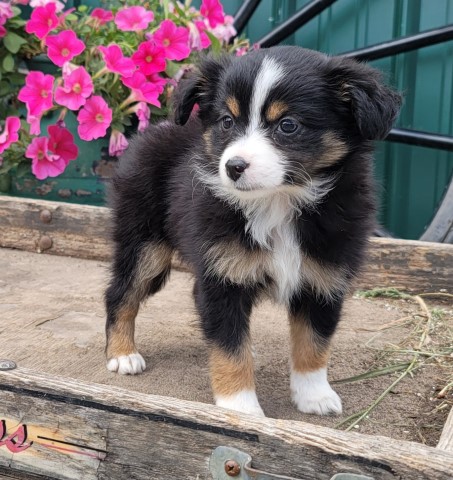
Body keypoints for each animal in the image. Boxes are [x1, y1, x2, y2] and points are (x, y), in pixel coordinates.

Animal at [103, 46, 400, 416]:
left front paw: (314, 395)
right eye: (227, 122)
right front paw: (239, 408)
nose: (233, 167)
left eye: (288, 125)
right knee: (121, 292)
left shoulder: (325, 277)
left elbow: (314, 341)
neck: (279, 201)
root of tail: (151, 132)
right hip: (145, 244)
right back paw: (122, 354)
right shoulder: (223, 275)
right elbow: (230, 348)